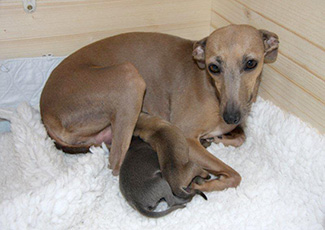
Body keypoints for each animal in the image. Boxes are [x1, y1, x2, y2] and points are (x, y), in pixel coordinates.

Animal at [41, 24, 278, 192]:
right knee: (115, 162)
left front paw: (219, 138)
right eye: (214, 67)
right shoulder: (186, 135)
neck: (212, 89)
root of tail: (46, 112)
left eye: (251, 63)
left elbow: (241, 137)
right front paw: (209, 183)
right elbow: (236, 176)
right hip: (129, 77)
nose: (231, 117)